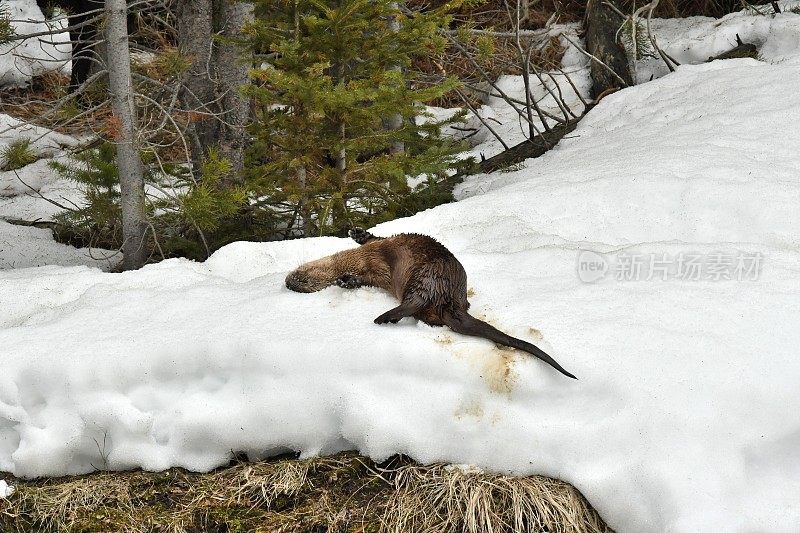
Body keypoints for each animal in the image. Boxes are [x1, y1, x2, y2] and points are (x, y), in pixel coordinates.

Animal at [284, 229, 580, 378]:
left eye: (304, 279)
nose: (289, 282)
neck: (362, 260)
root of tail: (451, 298)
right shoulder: (373, 269)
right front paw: (347, 280)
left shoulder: (378, 254)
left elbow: (374, 240)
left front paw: (355, 234)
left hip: (425, 275)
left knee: (413, 302)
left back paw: (383, 317)